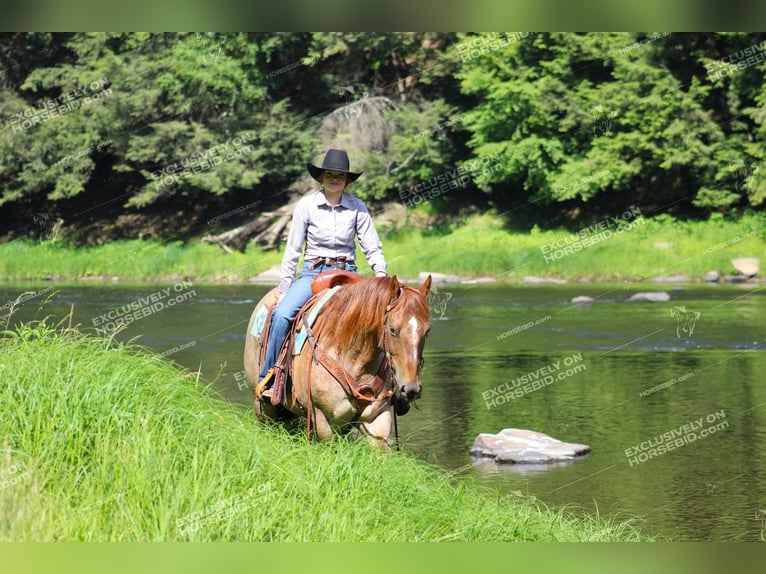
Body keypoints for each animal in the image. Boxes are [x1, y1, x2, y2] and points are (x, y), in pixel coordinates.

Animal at [246, 274, 432, 450]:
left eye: (427, 331)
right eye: (393, 330)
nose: (412, 389)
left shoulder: (377, 417)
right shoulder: (320, 417)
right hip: (262, 406)